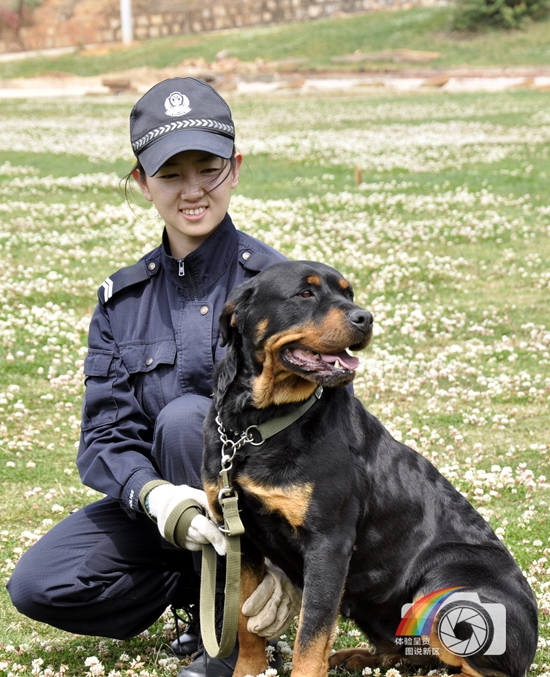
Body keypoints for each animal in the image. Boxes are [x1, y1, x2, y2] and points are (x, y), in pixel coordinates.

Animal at [202, 260, 538, 677]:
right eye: (305, 293)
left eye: (349, 294)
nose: (365, 317)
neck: (259, 425)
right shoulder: (241, 538)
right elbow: (247, 623)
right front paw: (248, 669)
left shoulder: (328, 543)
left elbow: (310, 636)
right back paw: (357, 656)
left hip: (446, 581)